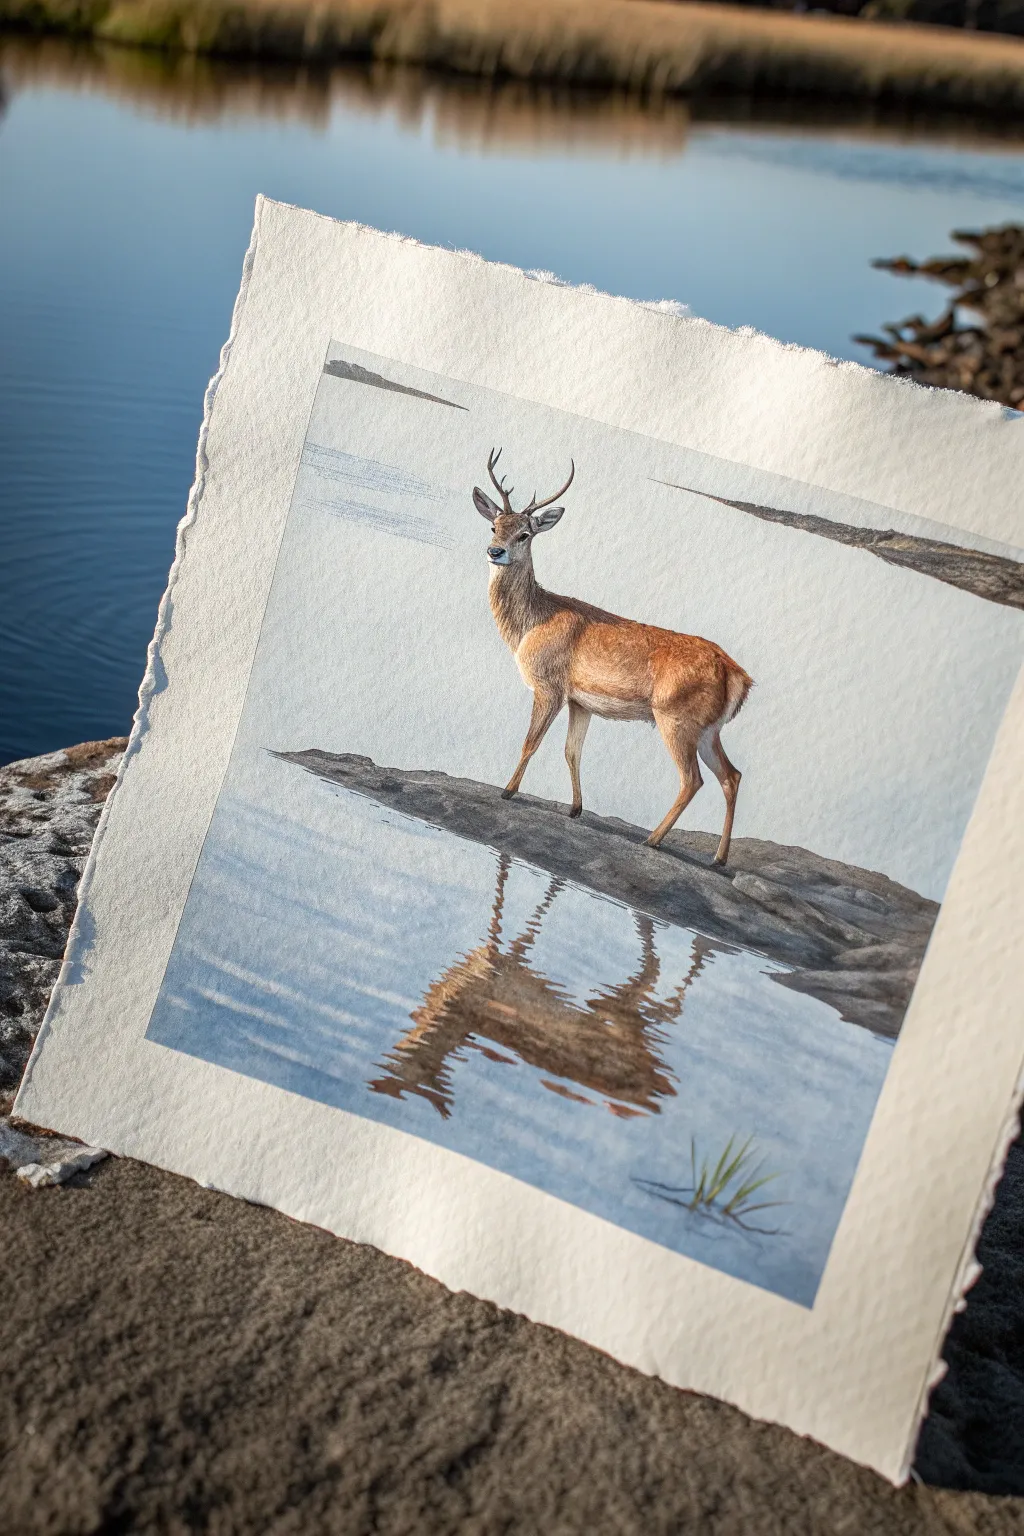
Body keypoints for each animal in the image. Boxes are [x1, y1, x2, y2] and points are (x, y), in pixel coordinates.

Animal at [473, 449, 752, 867]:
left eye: (525, 533)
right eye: (494, 526)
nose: (495, 552)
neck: (531, 624)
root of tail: (739, 676)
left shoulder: (549, 686)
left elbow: (531, 742)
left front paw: (507, 791)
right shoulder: (580, 700)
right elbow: (572, 751)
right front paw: (575, 809)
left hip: (676, 717)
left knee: (693, 779)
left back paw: (653, 840)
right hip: (709, 728)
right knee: (730, 776)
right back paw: (718, 859)